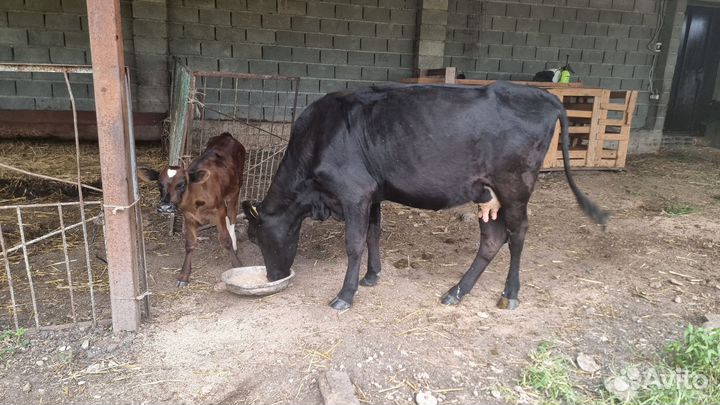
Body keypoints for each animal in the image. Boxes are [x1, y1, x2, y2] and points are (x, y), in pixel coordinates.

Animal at [139, 133, 246, 287]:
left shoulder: (219, 210)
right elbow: (189, 244)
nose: (165, 207)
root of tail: (227, 135)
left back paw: (235, 242)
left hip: (235, 190)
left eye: (182, 184)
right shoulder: (188, 216)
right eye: (159, 184)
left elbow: (225, 240)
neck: (195, 199)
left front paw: (237, 265)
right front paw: (184, 275)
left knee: (231, 216)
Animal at [242, 82, 607, 310]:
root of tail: (542, 96)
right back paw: (457, 292)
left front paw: (346, 294)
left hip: (515, 185)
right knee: (492, 238)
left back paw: (509, 294)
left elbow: (354, 243)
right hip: (487, 193)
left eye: (257, 237)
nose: (273, 277)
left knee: (517, 235)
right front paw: (372, 276)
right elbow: (373, 234)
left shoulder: (354, 191)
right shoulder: (373, 193)